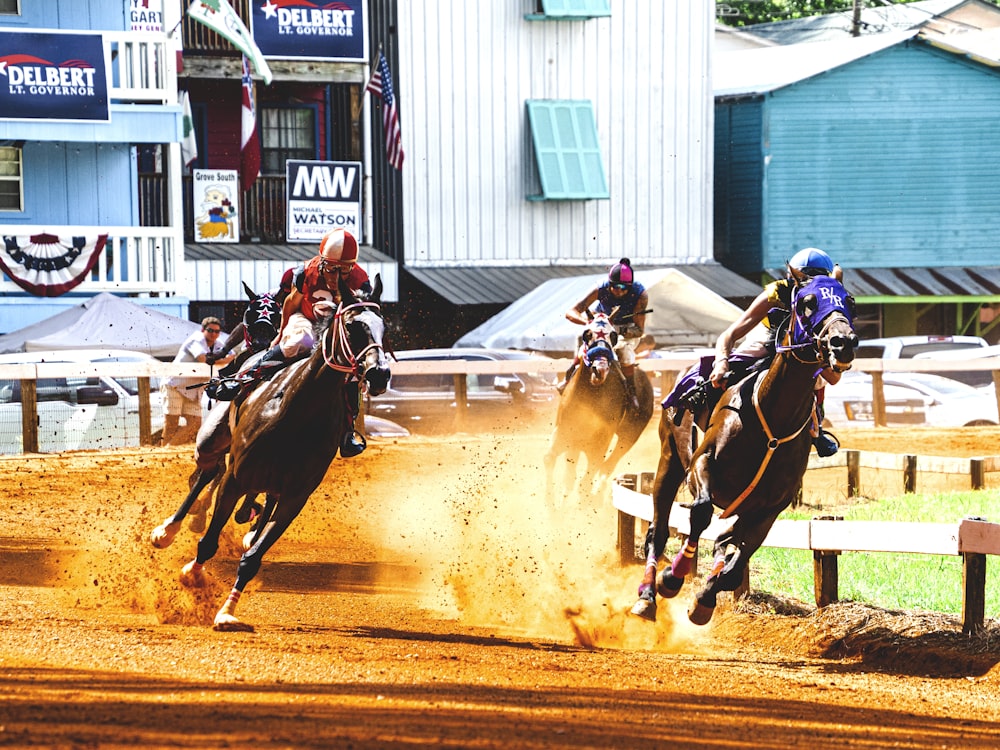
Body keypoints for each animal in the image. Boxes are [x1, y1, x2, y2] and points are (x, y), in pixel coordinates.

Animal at [152, 278, 390, 636]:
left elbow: (252, 558)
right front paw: (192, 574)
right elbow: (208, 541)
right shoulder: (236, 477)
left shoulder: (295, 496)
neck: (297, 412)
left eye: (382, 327)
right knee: (207, 473)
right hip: (211, 441)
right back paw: (168, 530)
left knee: (252, 501)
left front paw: (226, 613)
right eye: (352, 326)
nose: (379, 374)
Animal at [548, 314, 656, 502]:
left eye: (613, 335)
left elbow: (587, 479)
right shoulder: (565, 432)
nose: (600, 369)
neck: (590, 394)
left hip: (629, 436)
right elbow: (551, 461)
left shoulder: (600, 443)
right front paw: (552, 504)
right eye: (587, 333)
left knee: (608, 465)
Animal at [632, 274, 860, 624]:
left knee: (723, 541)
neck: (773, 419)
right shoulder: (702, 463)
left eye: (849, 301)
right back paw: (647, 595)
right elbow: (700, 512)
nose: (843, 342)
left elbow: (734, 565)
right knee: (657, 533)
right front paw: (673, 576)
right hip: (669, 459)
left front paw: (704, 599)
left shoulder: (771, 505)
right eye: (807, 302)